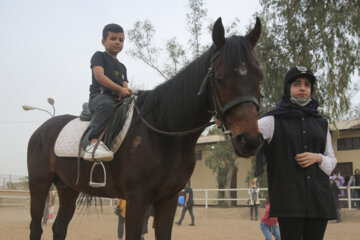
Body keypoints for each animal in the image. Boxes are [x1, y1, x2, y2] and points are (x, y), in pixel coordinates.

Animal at [28, 17, 262, 240]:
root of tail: (42, 130)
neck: (163, 133)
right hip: (39, 185)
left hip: (68, 188)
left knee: (59, 228)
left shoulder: (168, 199)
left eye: (258, 77)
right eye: (220, 79)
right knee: (35, 229)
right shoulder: (137, 199)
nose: (249, 140)